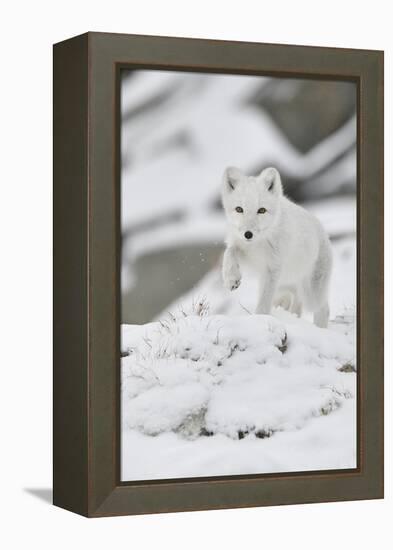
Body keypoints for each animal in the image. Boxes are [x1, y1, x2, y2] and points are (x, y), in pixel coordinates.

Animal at [220, 166, 330, 330]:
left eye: (261, 210)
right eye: (239, 209)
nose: (248, 234)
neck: (258, 244)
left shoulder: (272, 269)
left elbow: (264, 302)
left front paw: (260, 319)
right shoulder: (244, 252)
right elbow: (229, 252)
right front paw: (231, 279)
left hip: (310, 293)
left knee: (323, 308)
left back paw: (320, 330)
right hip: (286, 289)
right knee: (297, 305)